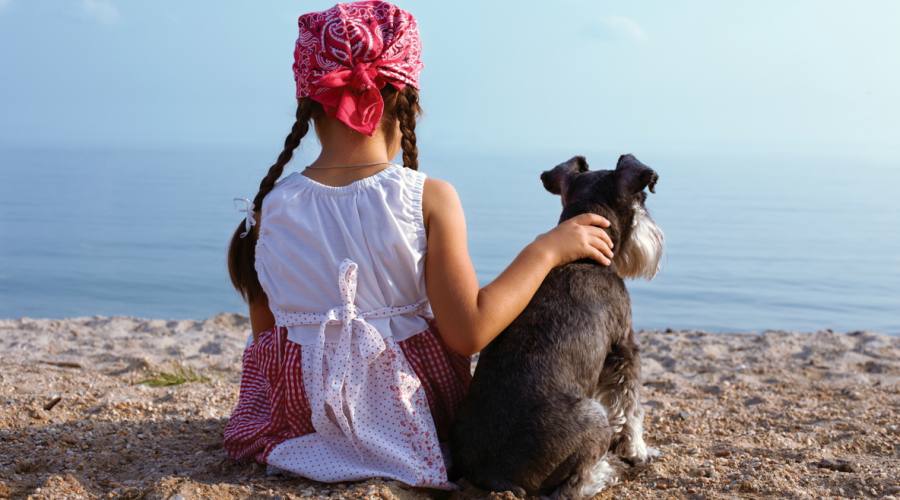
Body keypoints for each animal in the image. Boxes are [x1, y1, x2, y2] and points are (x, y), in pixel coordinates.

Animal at [454, 154, 664, 498]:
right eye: (642, 199)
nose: (656, 238)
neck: (582, 256)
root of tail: (493, 475)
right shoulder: (624, 348)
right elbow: (630, 406)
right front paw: (638, 451)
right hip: (594, 416)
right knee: (574, 486)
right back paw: (607, 471)